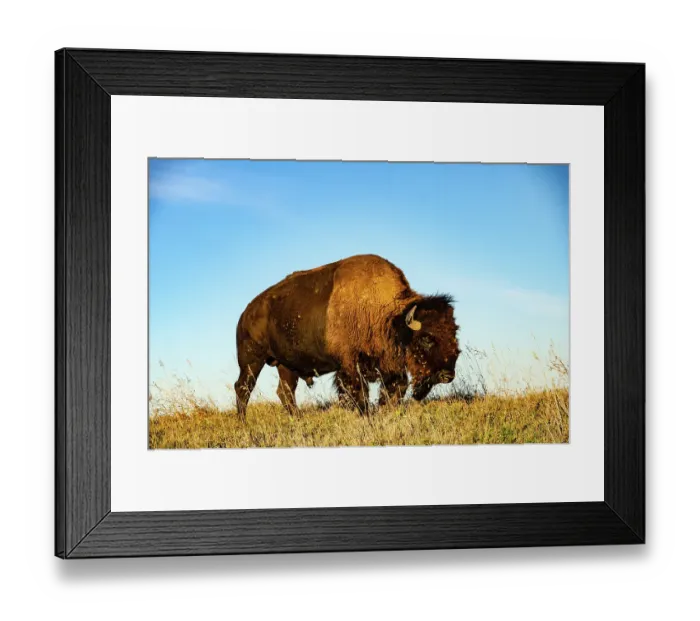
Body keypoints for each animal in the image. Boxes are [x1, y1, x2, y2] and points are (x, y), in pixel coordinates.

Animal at [235, 254, 460, 417]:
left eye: (454, 333)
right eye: (426, 338)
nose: (447, 375)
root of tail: (246, 313)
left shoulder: (389, 367)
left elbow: (394, 390)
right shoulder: (350, 366)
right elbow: (358, 393)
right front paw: (365, 415)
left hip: (286, 365)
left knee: (285, 391)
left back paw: (296, 418)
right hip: (251, 361)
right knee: (243, 388)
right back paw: (243, 421)